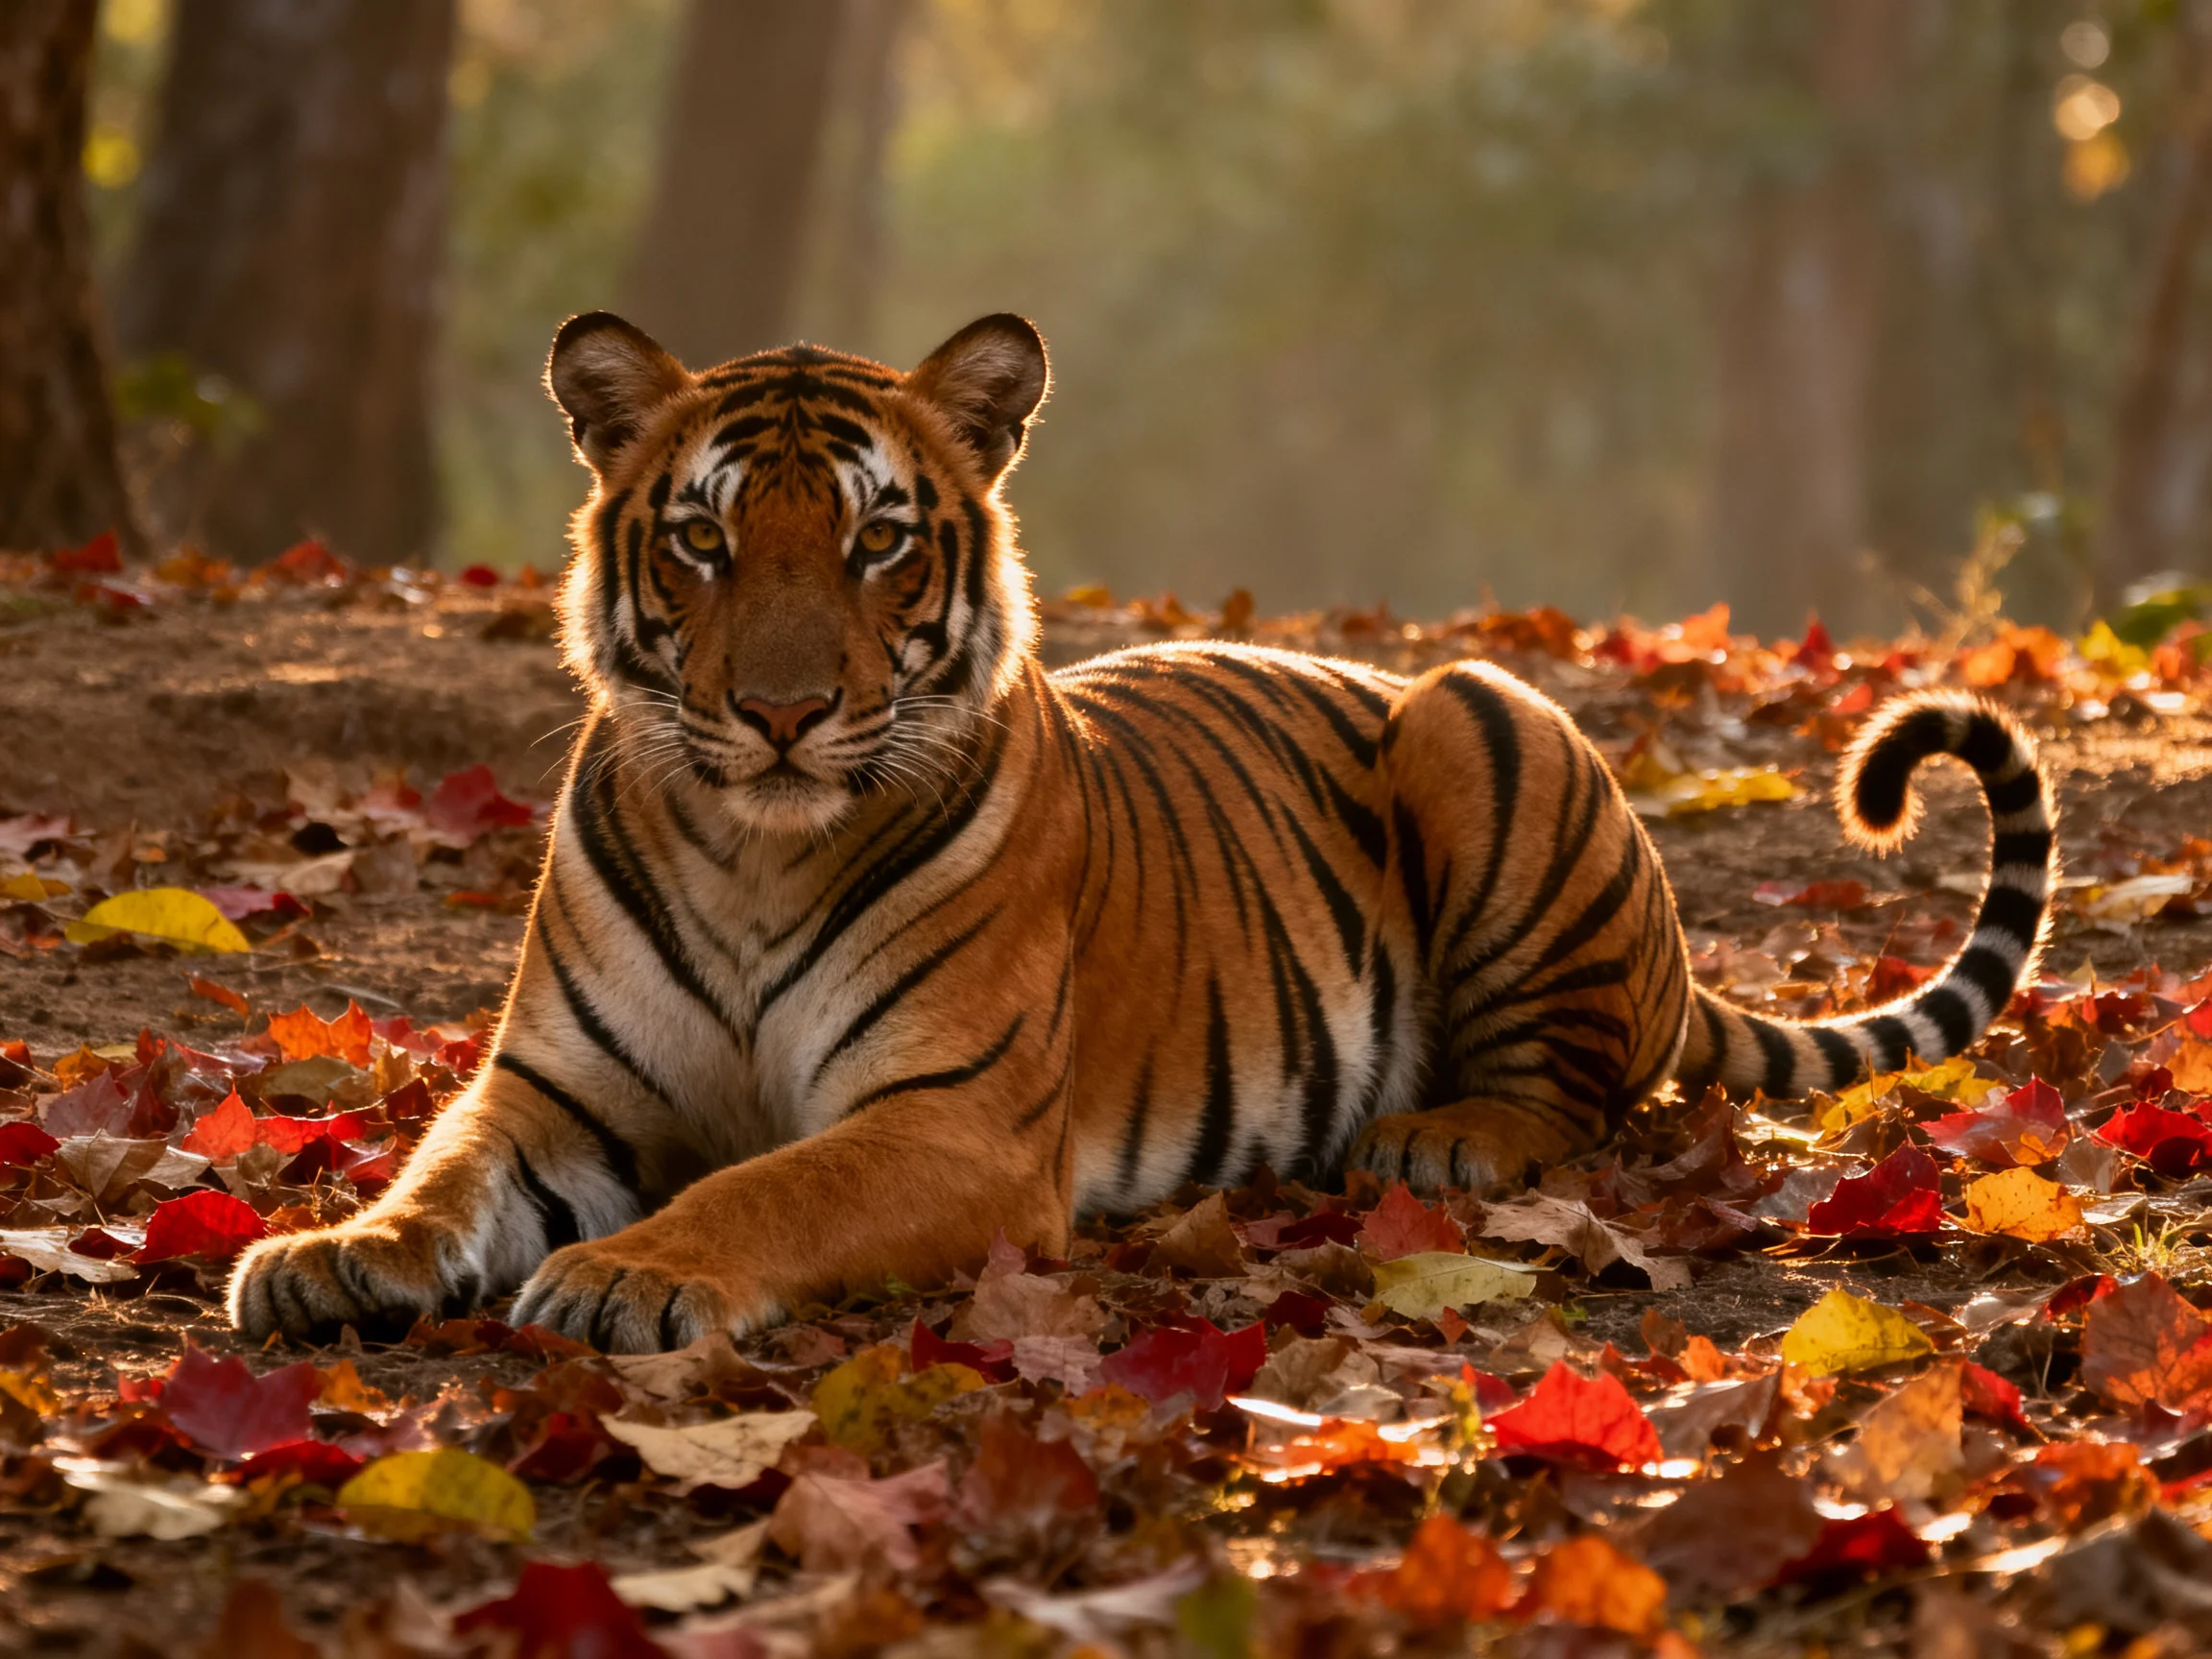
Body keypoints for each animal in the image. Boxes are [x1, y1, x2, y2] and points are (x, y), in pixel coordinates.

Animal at [228, 311, 2057, 1353]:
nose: (782, 711)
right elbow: (440, 1175)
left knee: (1592, 1094)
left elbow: (767, 1187)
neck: (754, 845)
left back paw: (1440, 1138)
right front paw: (334, 1253)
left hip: (1479, 716)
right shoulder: (553, 1092)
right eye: (703, 538)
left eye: (879, 539)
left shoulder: (947, 1125)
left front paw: (628, 1276)